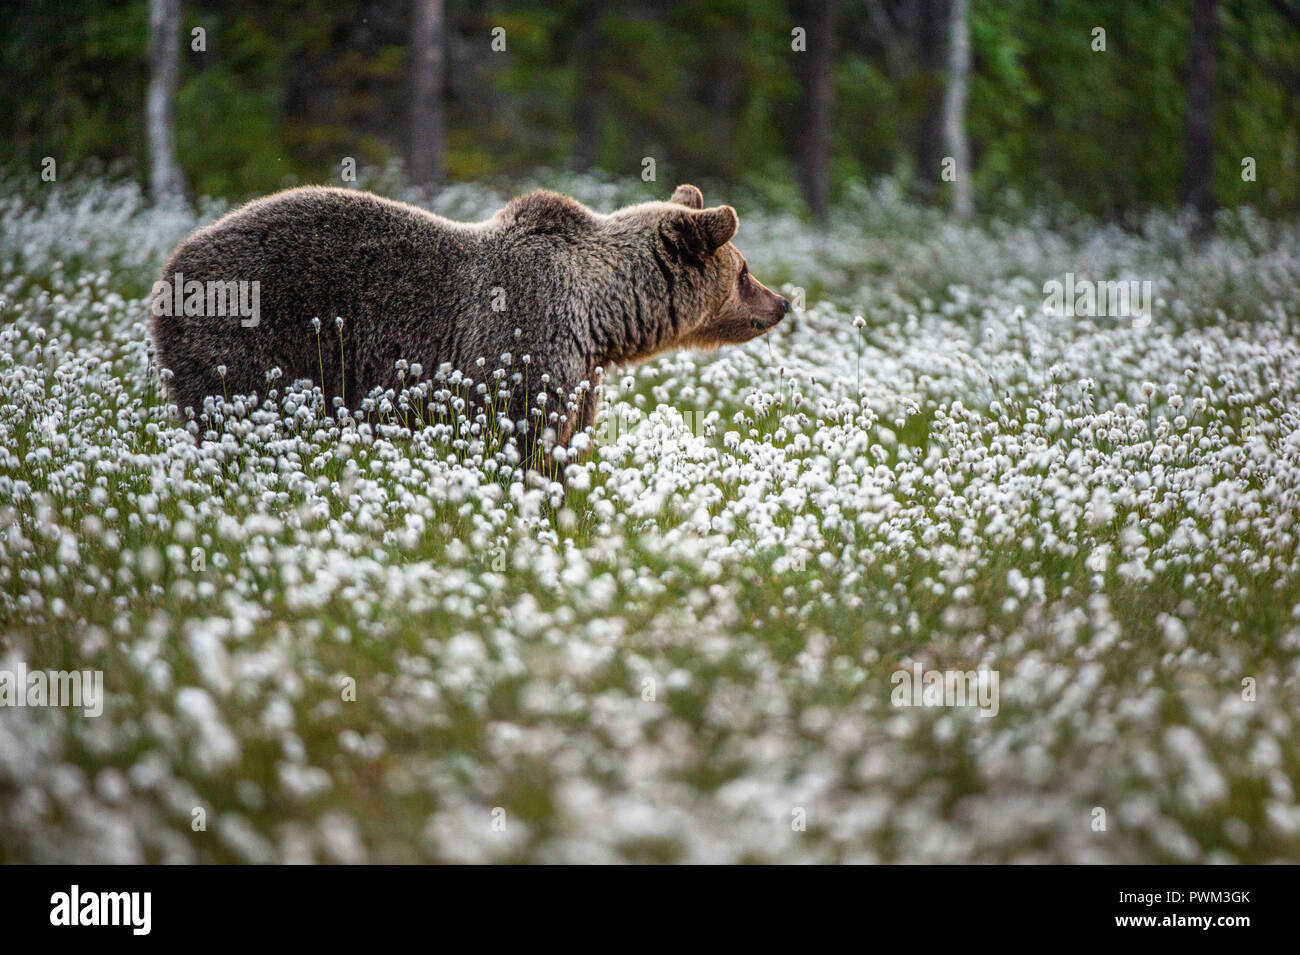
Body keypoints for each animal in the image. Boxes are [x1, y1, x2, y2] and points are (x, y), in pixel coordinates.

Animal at [150, 182, 789, 467]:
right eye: (745, 271)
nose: (782, 302)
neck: (601, 316)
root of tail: (167, 270)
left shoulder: (581, 370)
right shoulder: (527, 345)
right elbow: (527, 441)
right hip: (252, 339)